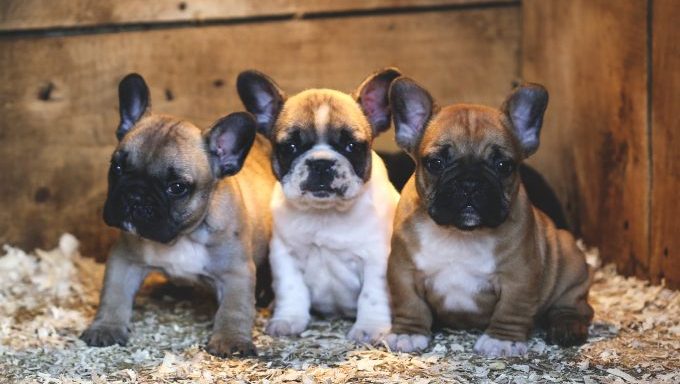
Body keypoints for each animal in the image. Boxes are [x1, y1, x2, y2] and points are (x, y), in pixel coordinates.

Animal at [81, 74, 276, 356]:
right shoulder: (124, 259)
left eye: (177, 187)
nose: (134, 194)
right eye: (116, 167)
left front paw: (231, 340)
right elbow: (113, 295)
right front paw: (106, 327)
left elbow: (234, 309)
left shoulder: (236, 272)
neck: (182, 236)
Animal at [236, 68, 402, 342]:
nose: (321, 163)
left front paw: (369, 328)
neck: (325, 214)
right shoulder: (285, 255)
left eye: (352, 146)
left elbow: (372, 294)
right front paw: (289, 319)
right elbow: (291, 289)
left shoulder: (377, 257)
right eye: (290, 147)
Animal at [386, 77, 592, 356]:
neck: (459, 234)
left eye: (504, 165)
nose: (470, 183)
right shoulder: (403, 270)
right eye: (436, 163)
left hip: (570, 264)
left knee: (575, 306)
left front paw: (503, 340)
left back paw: (566, 326)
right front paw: (408, 332)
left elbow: (511, 308)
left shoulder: (519, 275)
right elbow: (409, 302)